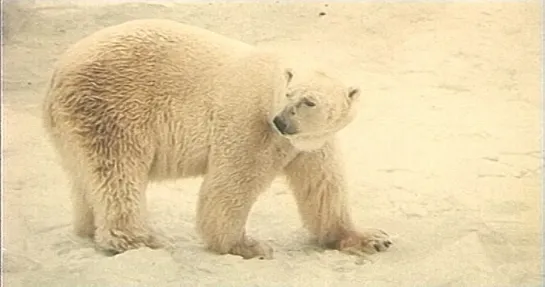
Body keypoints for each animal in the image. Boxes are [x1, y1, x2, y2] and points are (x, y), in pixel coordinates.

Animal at [43, 19, 392, 260]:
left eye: (309, 102)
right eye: (289, 94)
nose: (281, 121)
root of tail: (57, 73)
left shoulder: (310, 142)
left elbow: (322, 187)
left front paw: (371, 238)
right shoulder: (250, 121)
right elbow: (232, 182)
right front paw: (248, 245)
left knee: (86, 178)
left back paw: (89, 228)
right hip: (111, 107)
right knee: (117, 172)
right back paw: (138, 239)